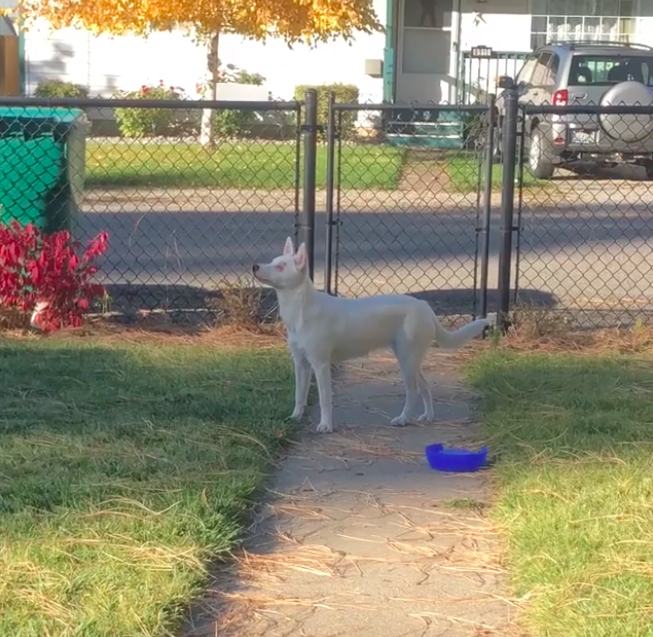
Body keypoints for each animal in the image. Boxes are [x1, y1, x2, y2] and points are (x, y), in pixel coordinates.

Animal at [252, 236, 492, 434]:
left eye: (281, 266)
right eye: (273, 260)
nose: (255, 266)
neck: (301, 309)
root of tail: (425, 307)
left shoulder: (320, 365)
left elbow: (324, 399)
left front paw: (326, 425)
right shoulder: (301, 363)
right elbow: (299, 395)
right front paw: (295, 417)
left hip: (406, 360)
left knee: (413, 391)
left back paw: (403, 419)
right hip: (411, 359)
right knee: (425, 387)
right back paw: (428, 416)